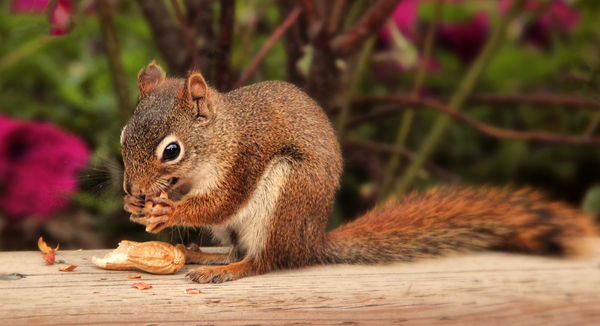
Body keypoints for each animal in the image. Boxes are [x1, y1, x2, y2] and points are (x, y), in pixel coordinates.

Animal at [122, 63, 596, 282]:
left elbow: (219, 202)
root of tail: (311, 242)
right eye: (125, 134)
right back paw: (205, 256)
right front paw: (137, 206)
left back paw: (227, 270)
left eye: (172, 150)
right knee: (238, 248)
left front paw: (168, 211)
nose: (134, 187)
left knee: (266, 260)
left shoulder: (245, 160)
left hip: (285, 196)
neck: (220, 137)